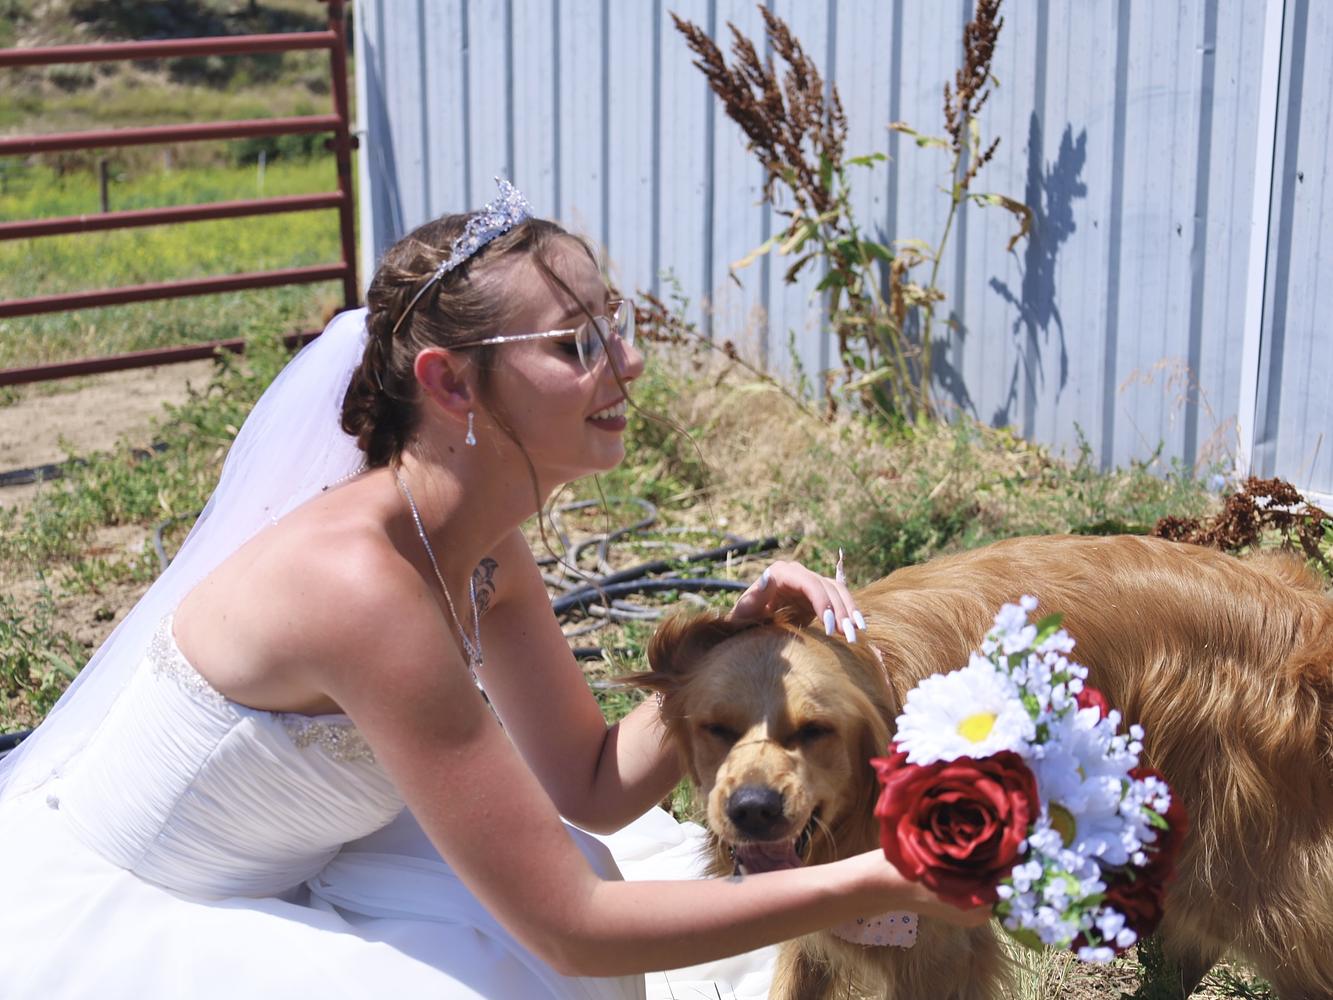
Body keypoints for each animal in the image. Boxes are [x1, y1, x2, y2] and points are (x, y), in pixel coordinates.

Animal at [633, 535, 1333, 999]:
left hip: (1247, 878)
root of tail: (1301, 612)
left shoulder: (935, 948)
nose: (753, 811)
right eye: (716, 730)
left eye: (814, 732)